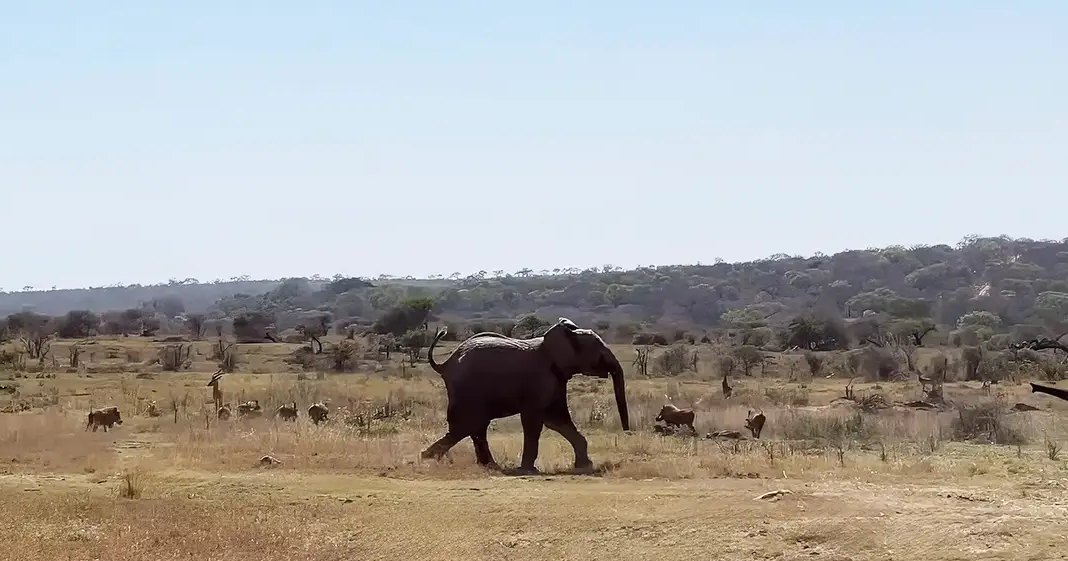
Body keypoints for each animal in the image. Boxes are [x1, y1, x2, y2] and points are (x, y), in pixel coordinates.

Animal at [422, 317, 630, 474]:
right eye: (599, 352)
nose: (627, 432)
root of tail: (445, 364)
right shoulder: (541, 380)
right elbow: (535, 420)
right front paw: (529, 470)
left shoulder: (556, 379)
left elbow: (557, 420)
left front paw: (585, 466)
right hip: (468, 390)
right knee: (467, 425)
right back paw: (426, 459)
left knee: (474, 427)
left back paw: (487, 466)